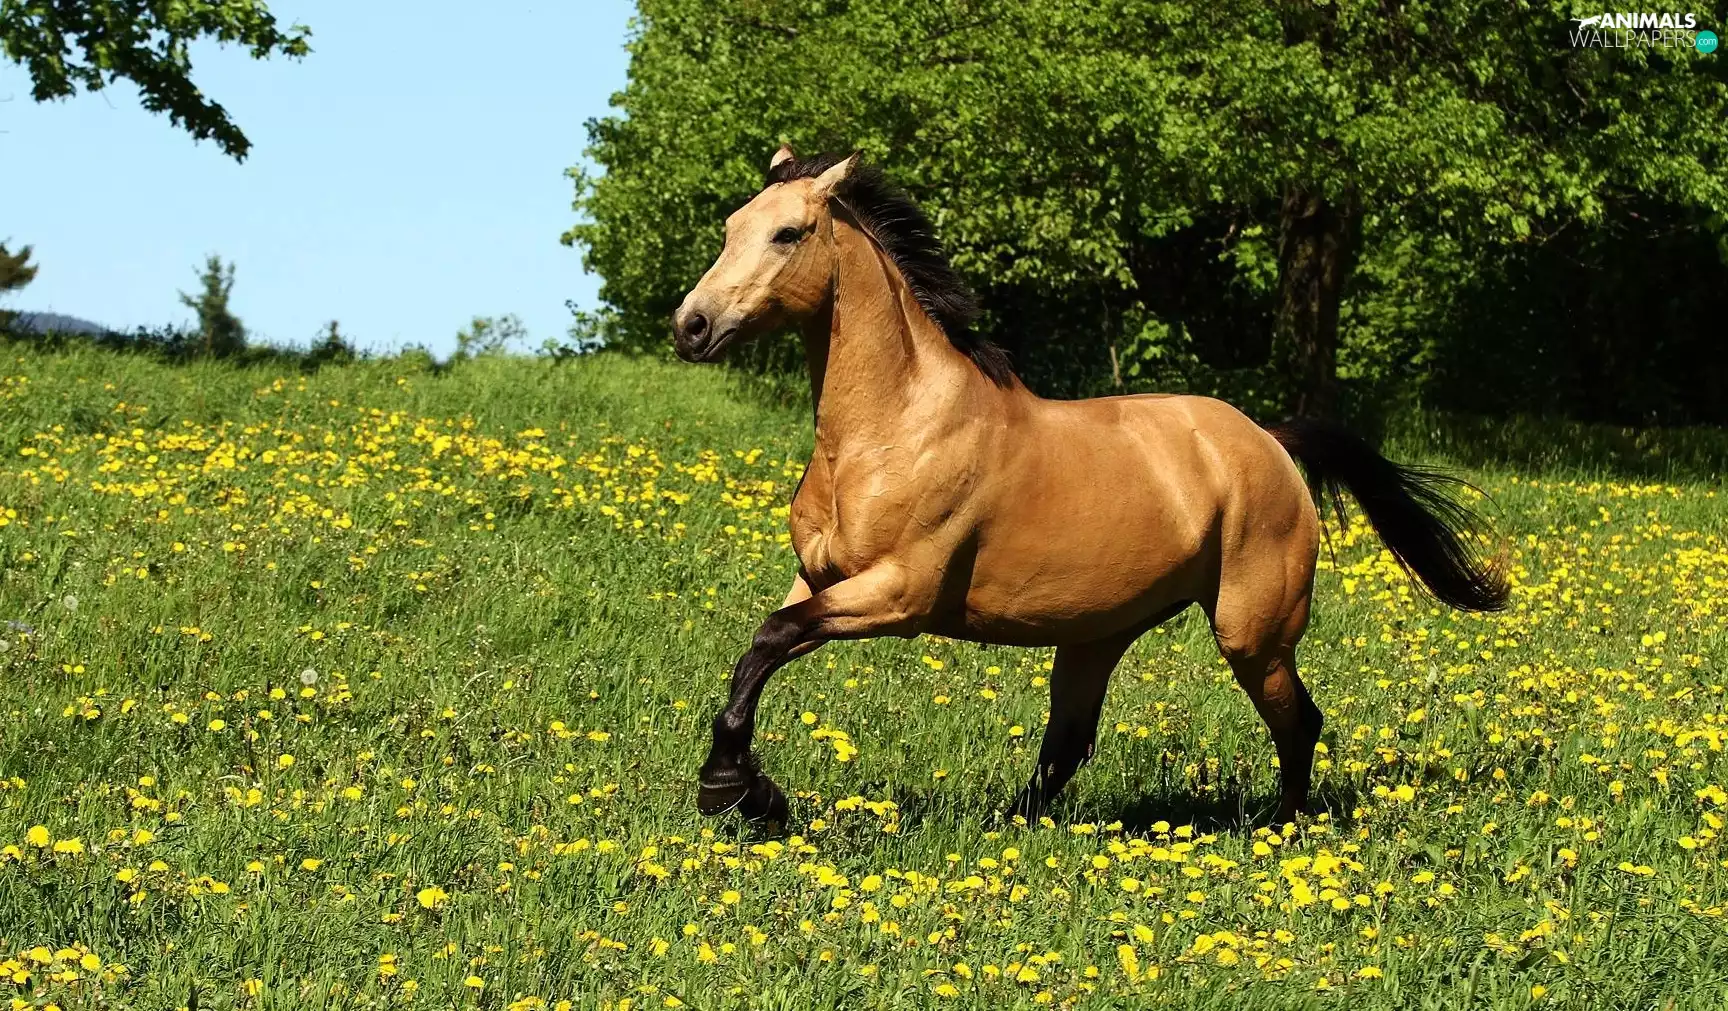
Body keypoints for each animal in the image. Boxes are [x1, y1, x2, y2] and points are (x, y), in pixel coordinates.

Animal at [670, 146, 1508, 828]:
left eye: (788, 233)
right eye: (730, 225)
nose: (692, 325)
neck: (893, 429)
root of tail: (1270, 440)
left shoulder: (899, 594)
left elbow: (769, 638)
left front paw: (731, 788)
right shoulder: (822, 579)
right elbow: (761, 648)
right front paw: (748, 789)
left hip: (1251, 631)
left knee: (1298, 721)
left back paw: (1284, 830)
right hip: (1097, 632)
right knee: (1069, 741)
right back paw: (1008, 828)